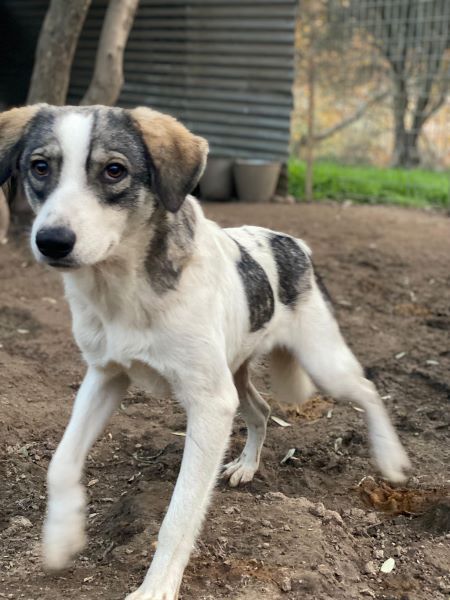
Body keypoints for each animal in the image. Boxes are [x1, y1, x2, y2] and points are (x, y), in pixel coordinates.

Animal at [0, 104, 411, 600]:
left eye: (114, 170)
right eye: (40, 167)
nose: (52, 241)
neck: (124, 290)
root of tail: (295, 243)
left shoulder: (210, 405)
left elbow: (178, 516)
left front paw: (156, 588)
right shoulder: (105, 376)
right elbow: (60, 463)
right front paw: (61, 538)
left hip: (322, 363)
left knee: (367, 388)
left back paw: (391, 460)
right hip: (234, 371)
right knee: (261, 409)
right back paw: (247, 466)